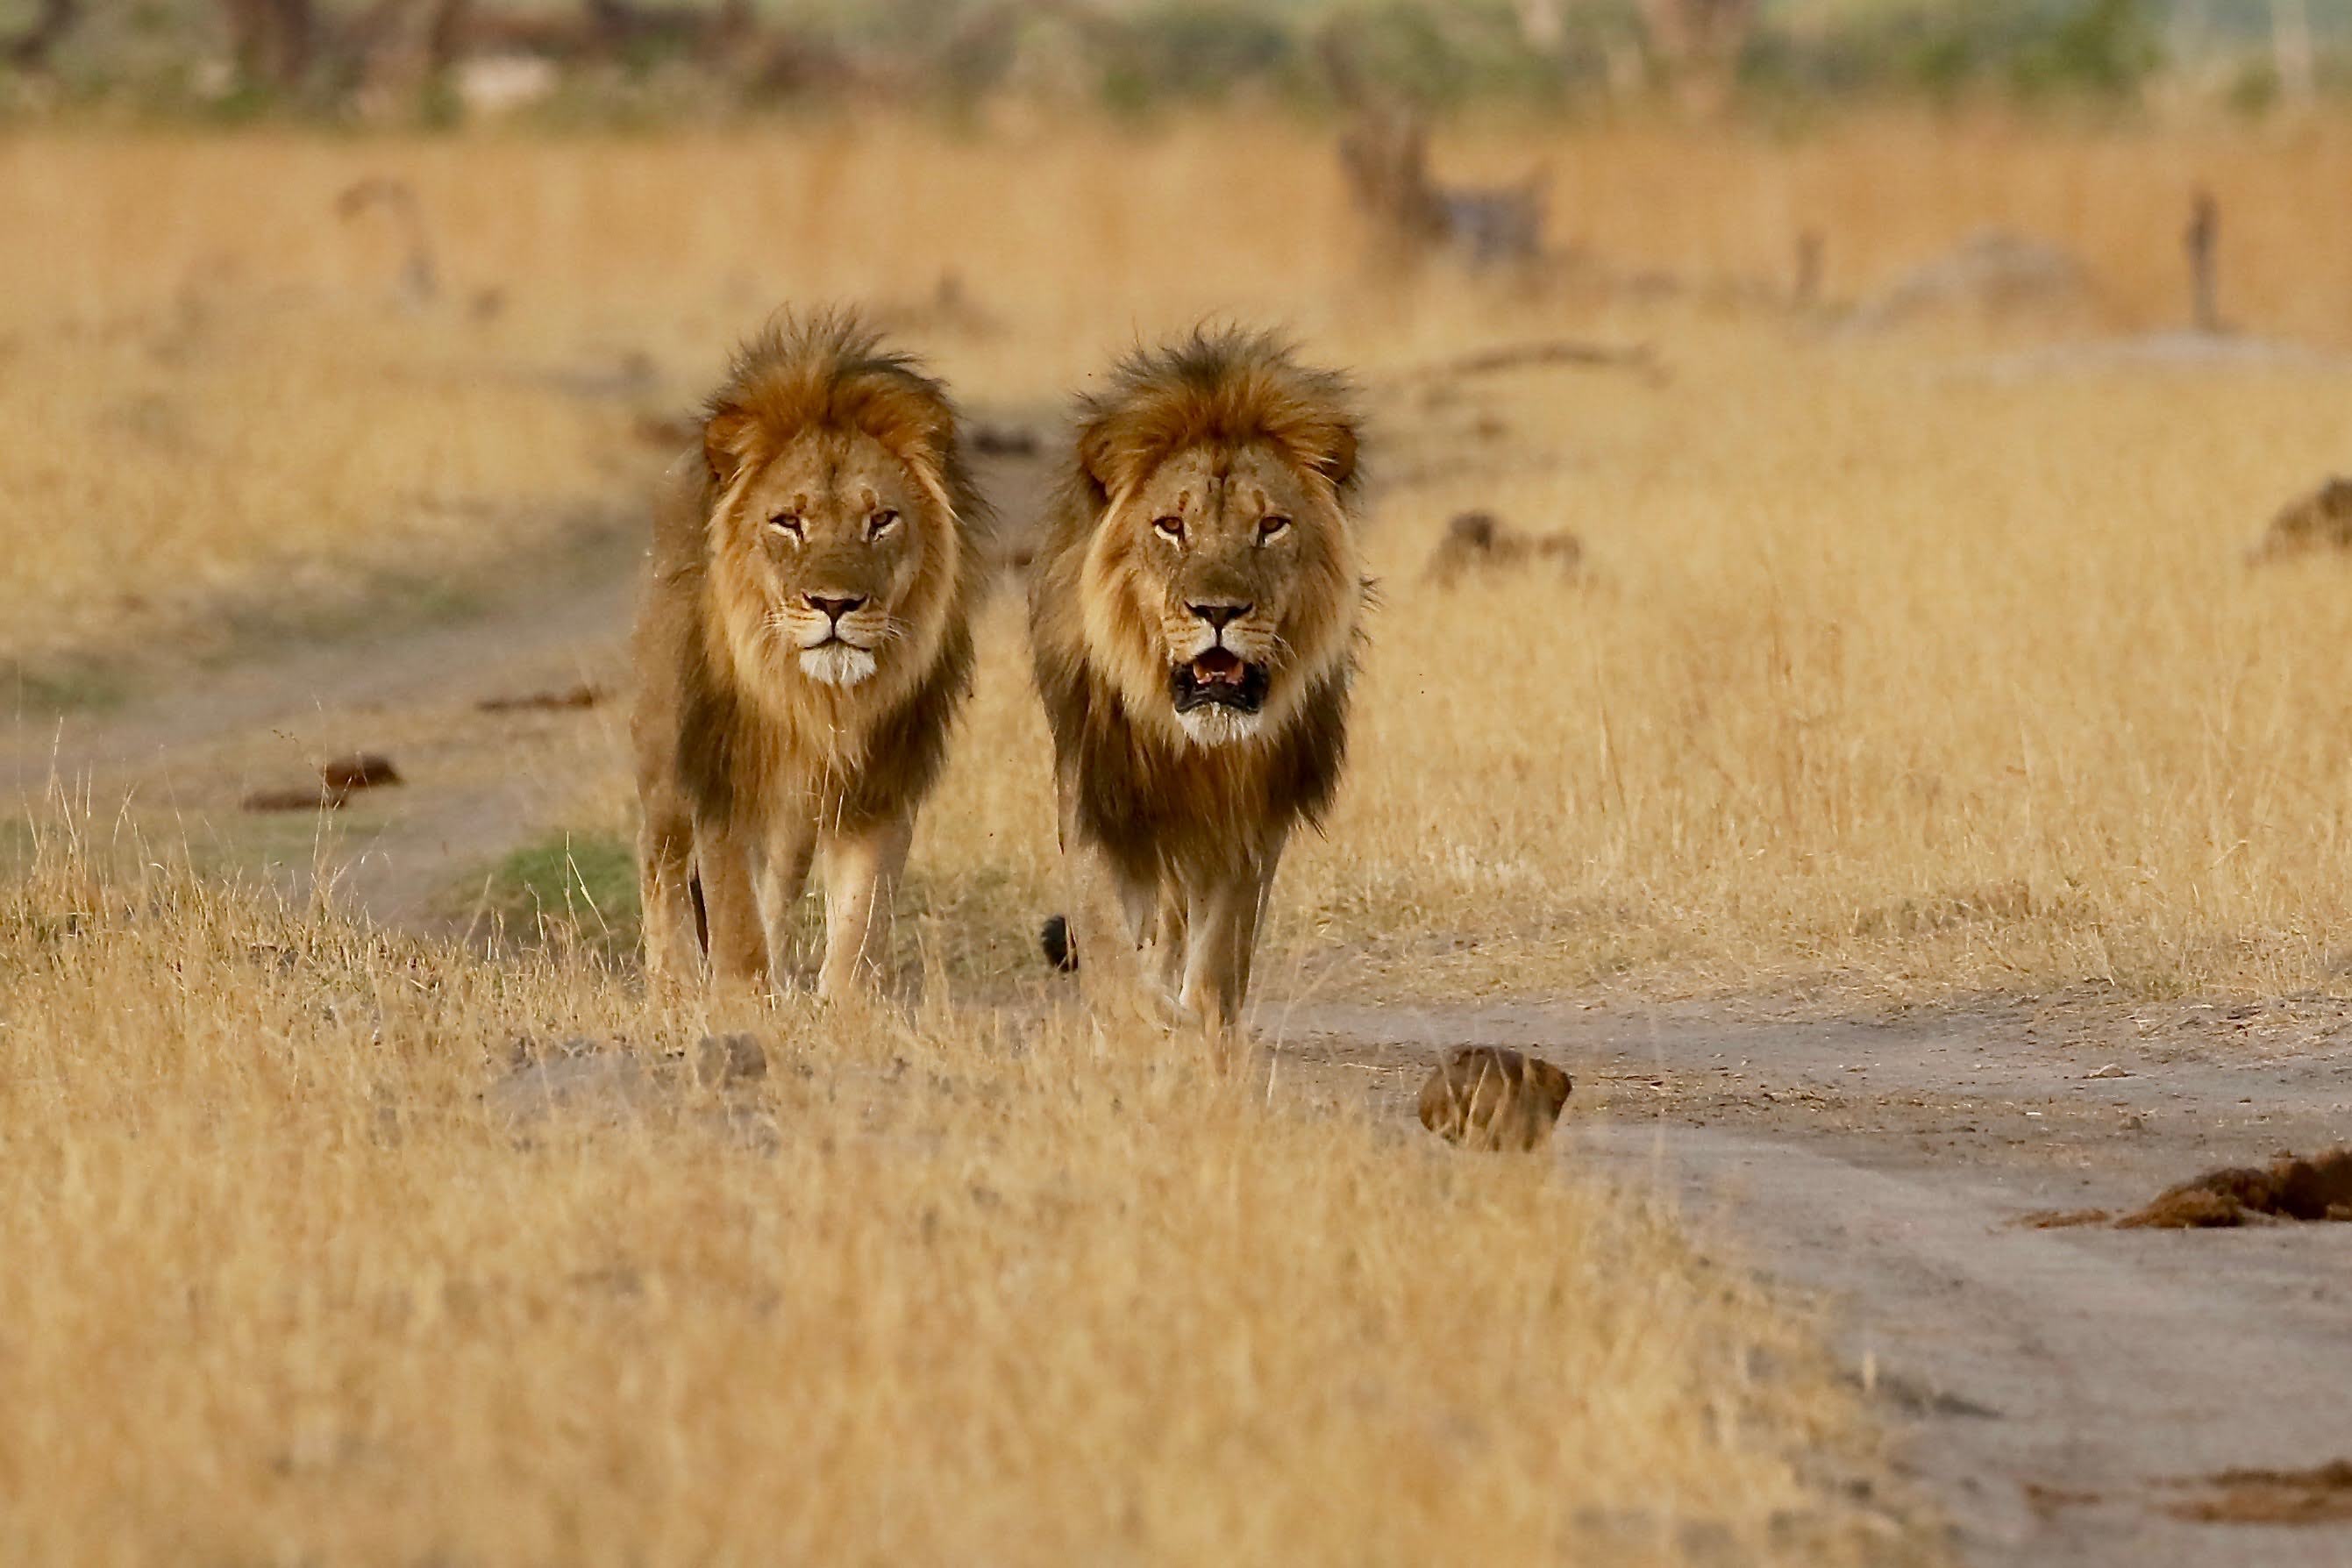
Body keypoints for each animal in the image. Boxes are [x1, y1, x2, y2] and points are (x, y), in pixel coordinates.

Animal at [632, 311, 988, 999]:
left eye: (881, 520)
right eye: (787, 522)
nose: (834, 604)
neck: (818, 697)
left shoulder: (881, 783)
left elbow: (861, 916)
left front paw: (844, 1004)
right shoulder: (722, 770)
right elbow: (732, 907)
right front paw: (741, 999)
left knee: (777, 885)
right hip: (665, 756)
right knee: (660, 859)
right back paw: (674, 984)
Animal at [1028, 327, 1368, 1034]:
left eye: (1271, 526)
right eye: (1171, 526)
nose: (1217, 611)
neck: (1196, 746)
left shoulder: (1251, 814)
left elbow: (1219, 958)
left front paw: (1199, 1029)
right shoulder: (1101, 791)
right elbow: (1107, 945)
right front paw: (1147, 1027)